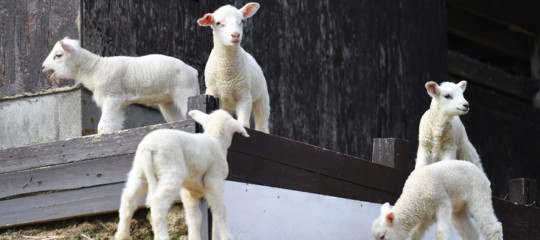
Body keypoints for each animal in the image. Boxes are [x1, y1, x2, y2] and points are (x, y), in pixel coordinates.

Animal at [40, 38, 200, 134]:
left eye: (58, 55)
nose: (42, 66)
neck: (95, 69)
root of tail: (193, 71)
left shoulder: (112, 97)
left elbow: (103, 125)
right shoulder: (118, 102)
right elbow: (114, 124)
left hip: (185, 93)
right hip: (168, 102)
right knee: (177, 119)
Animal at [115, 109, 250, 240]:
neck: (216, 140)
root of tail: (148, 147)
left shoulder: (189, 190)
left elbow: (194, 216)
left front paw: (194, 237)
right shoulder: (214, 180)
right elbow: (220, 210)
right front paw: (227, 236)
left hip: (138, 172)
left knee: (128, 200)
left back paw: (122, 236)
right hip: (170, 170)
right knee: (158, 202)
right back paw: (162, 236)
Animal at [197, 1, 270, 133]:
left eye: (242, 21)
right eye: (218, 23)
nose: (236, 35)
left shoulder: (244, 95)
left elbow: (244, 124)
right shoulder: (211, 92)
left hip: (262, 97)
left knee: (262, 121)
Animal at [372, 159, 502, 240]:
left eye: (382, 237)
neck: (414, 196)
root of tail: (482, 174)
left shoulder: (442, 204)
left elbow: (441, 233)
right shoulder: (426, 215)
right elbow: (416, 234)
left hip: (480, 194)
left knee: (493, 227)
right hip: (459, 208)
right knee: (471, 233)